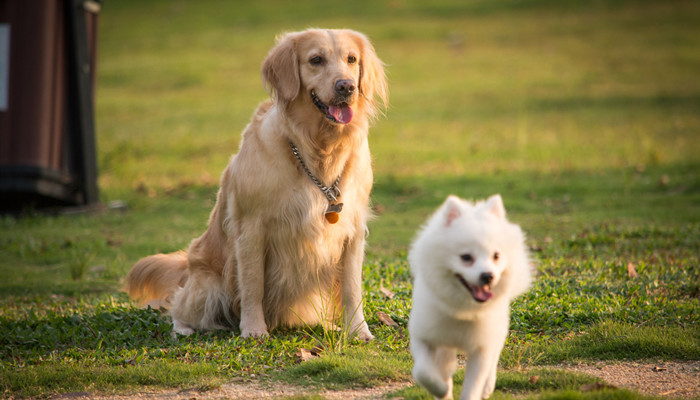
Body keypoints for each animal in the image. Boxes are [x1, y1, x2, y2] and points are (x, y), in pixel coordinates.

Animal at [408, 195, 532, 398]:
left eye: (496, 256)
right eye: (466, 257)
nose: (488, 275)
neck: (463, 310)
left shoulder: (481, 348)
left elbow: (474, 385)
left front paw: (476, 388)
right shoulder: (423, 336)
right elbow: (423, 372)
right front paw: (441, 389)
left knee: (494, 358)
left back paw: (488, 386)